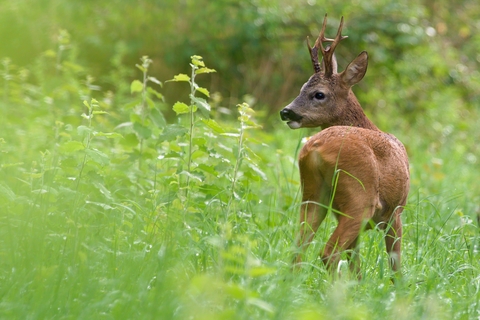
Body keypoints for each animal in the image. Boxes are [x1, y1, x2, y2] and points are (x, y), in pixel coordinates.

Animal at [280, 15, 410, 276]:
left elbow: (356, 264)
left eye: (318, 94)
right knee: (328, 252)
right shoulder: (396, 212)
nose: (286, 111)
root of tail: (315, 149)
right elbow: (395, 265)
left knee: (298, 249)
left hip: (313, 195)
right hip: (360, 198)